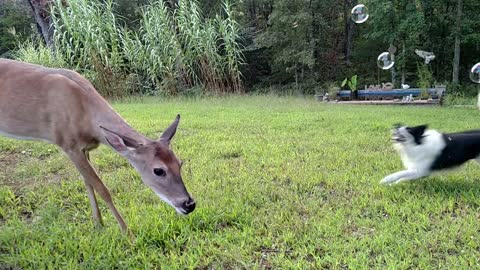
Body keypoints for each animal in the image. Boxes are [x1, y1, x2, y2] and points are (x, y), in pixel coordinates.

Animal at [0, 58, 196, 232]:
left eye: (180, 163)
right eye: (158, 170)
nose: (189, 204)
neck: (86, 115)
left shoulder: (84, 148)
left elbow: (88, 183)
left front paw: (98, 224)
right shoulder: (68, 143)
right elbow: (102, 188)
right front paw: (127, 233)